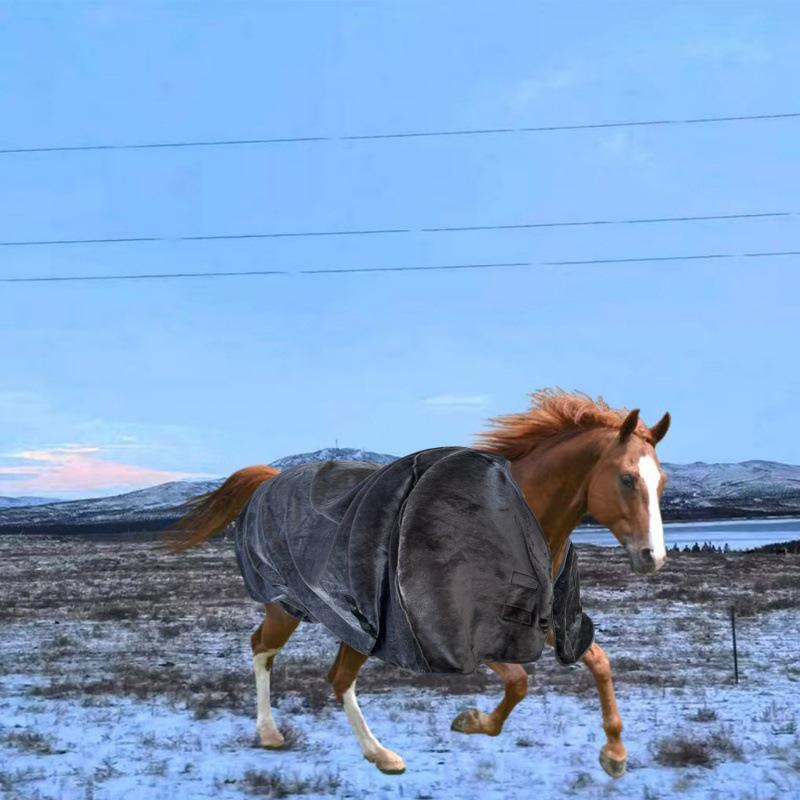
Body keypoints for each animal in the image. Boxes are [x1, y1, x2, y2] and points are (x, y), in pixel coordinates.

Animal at [167, 389, 670, 778]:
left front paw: (615, 754)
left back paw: (373, 753)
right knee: (269, 651)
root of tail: (272, 479)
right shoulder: (458, 631)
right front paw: (472, 721)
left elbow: (599, 663)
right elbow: (520, 681)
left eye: (662, 482)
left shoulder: (537, 618)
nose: (654, 557)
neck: (511, 517)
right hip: (290, 604)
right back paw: (288, 737)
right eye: (627, 478)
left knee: (331, 675)